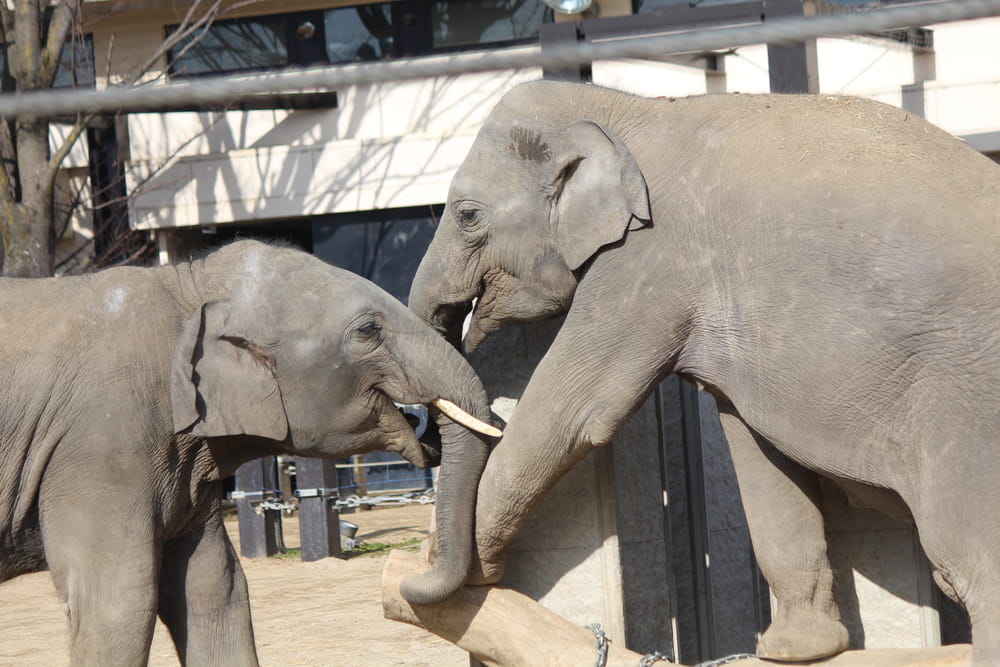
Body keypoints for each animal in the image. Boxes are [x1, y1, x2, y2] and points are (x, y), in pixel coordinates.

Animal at [0, 241, 500, 667]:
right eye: (368, 330)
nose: (402, 574)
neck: (186, 286)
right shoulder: (102, 446)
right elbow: (119, 602)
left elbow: (214, 585)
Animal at [410, 81, 1000, 664]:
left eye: (466, 215)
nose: (420, 562)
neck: (626, 106)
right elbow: (754, 449)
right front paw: (797, 650)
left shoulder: (647, 264)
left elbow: (576, 412)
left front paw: (456, 571)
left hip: (964, 400)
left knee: (969, 558)